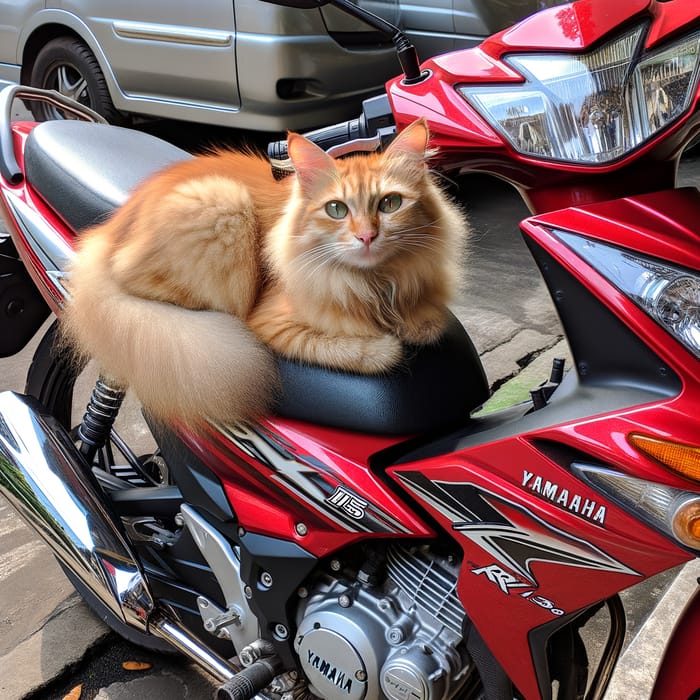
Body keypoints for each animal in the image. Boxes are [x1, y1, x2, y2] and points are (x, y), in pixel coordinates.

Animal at [58, 119, 464, 426]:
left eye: (390, 204)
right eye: (336, 209)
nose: (366, 236)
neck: (376, 283)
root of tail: (107, 233)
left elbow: (428, 323)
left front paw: (411, 324)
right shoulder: (274, 322)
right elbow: (363, 350)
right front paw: (388, 344)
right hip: (224, 205)